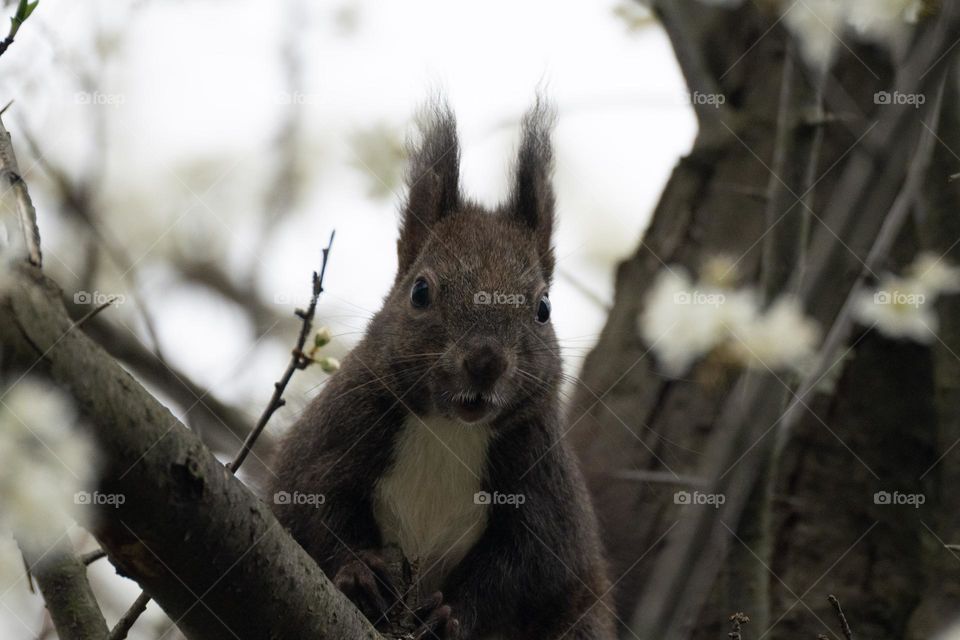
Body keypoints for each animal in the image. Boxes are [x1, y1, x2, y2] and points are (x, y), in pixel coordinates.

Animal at [270, 99, 616, 640]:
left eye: (543, 308)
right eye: (420, 291)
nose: (485, 361)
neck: (448, 428)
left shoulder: (543, 485)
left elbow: (525, 571)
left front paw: (448, 615)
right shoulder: (335, 432)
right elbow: (313, 505)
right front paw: (360, 573)